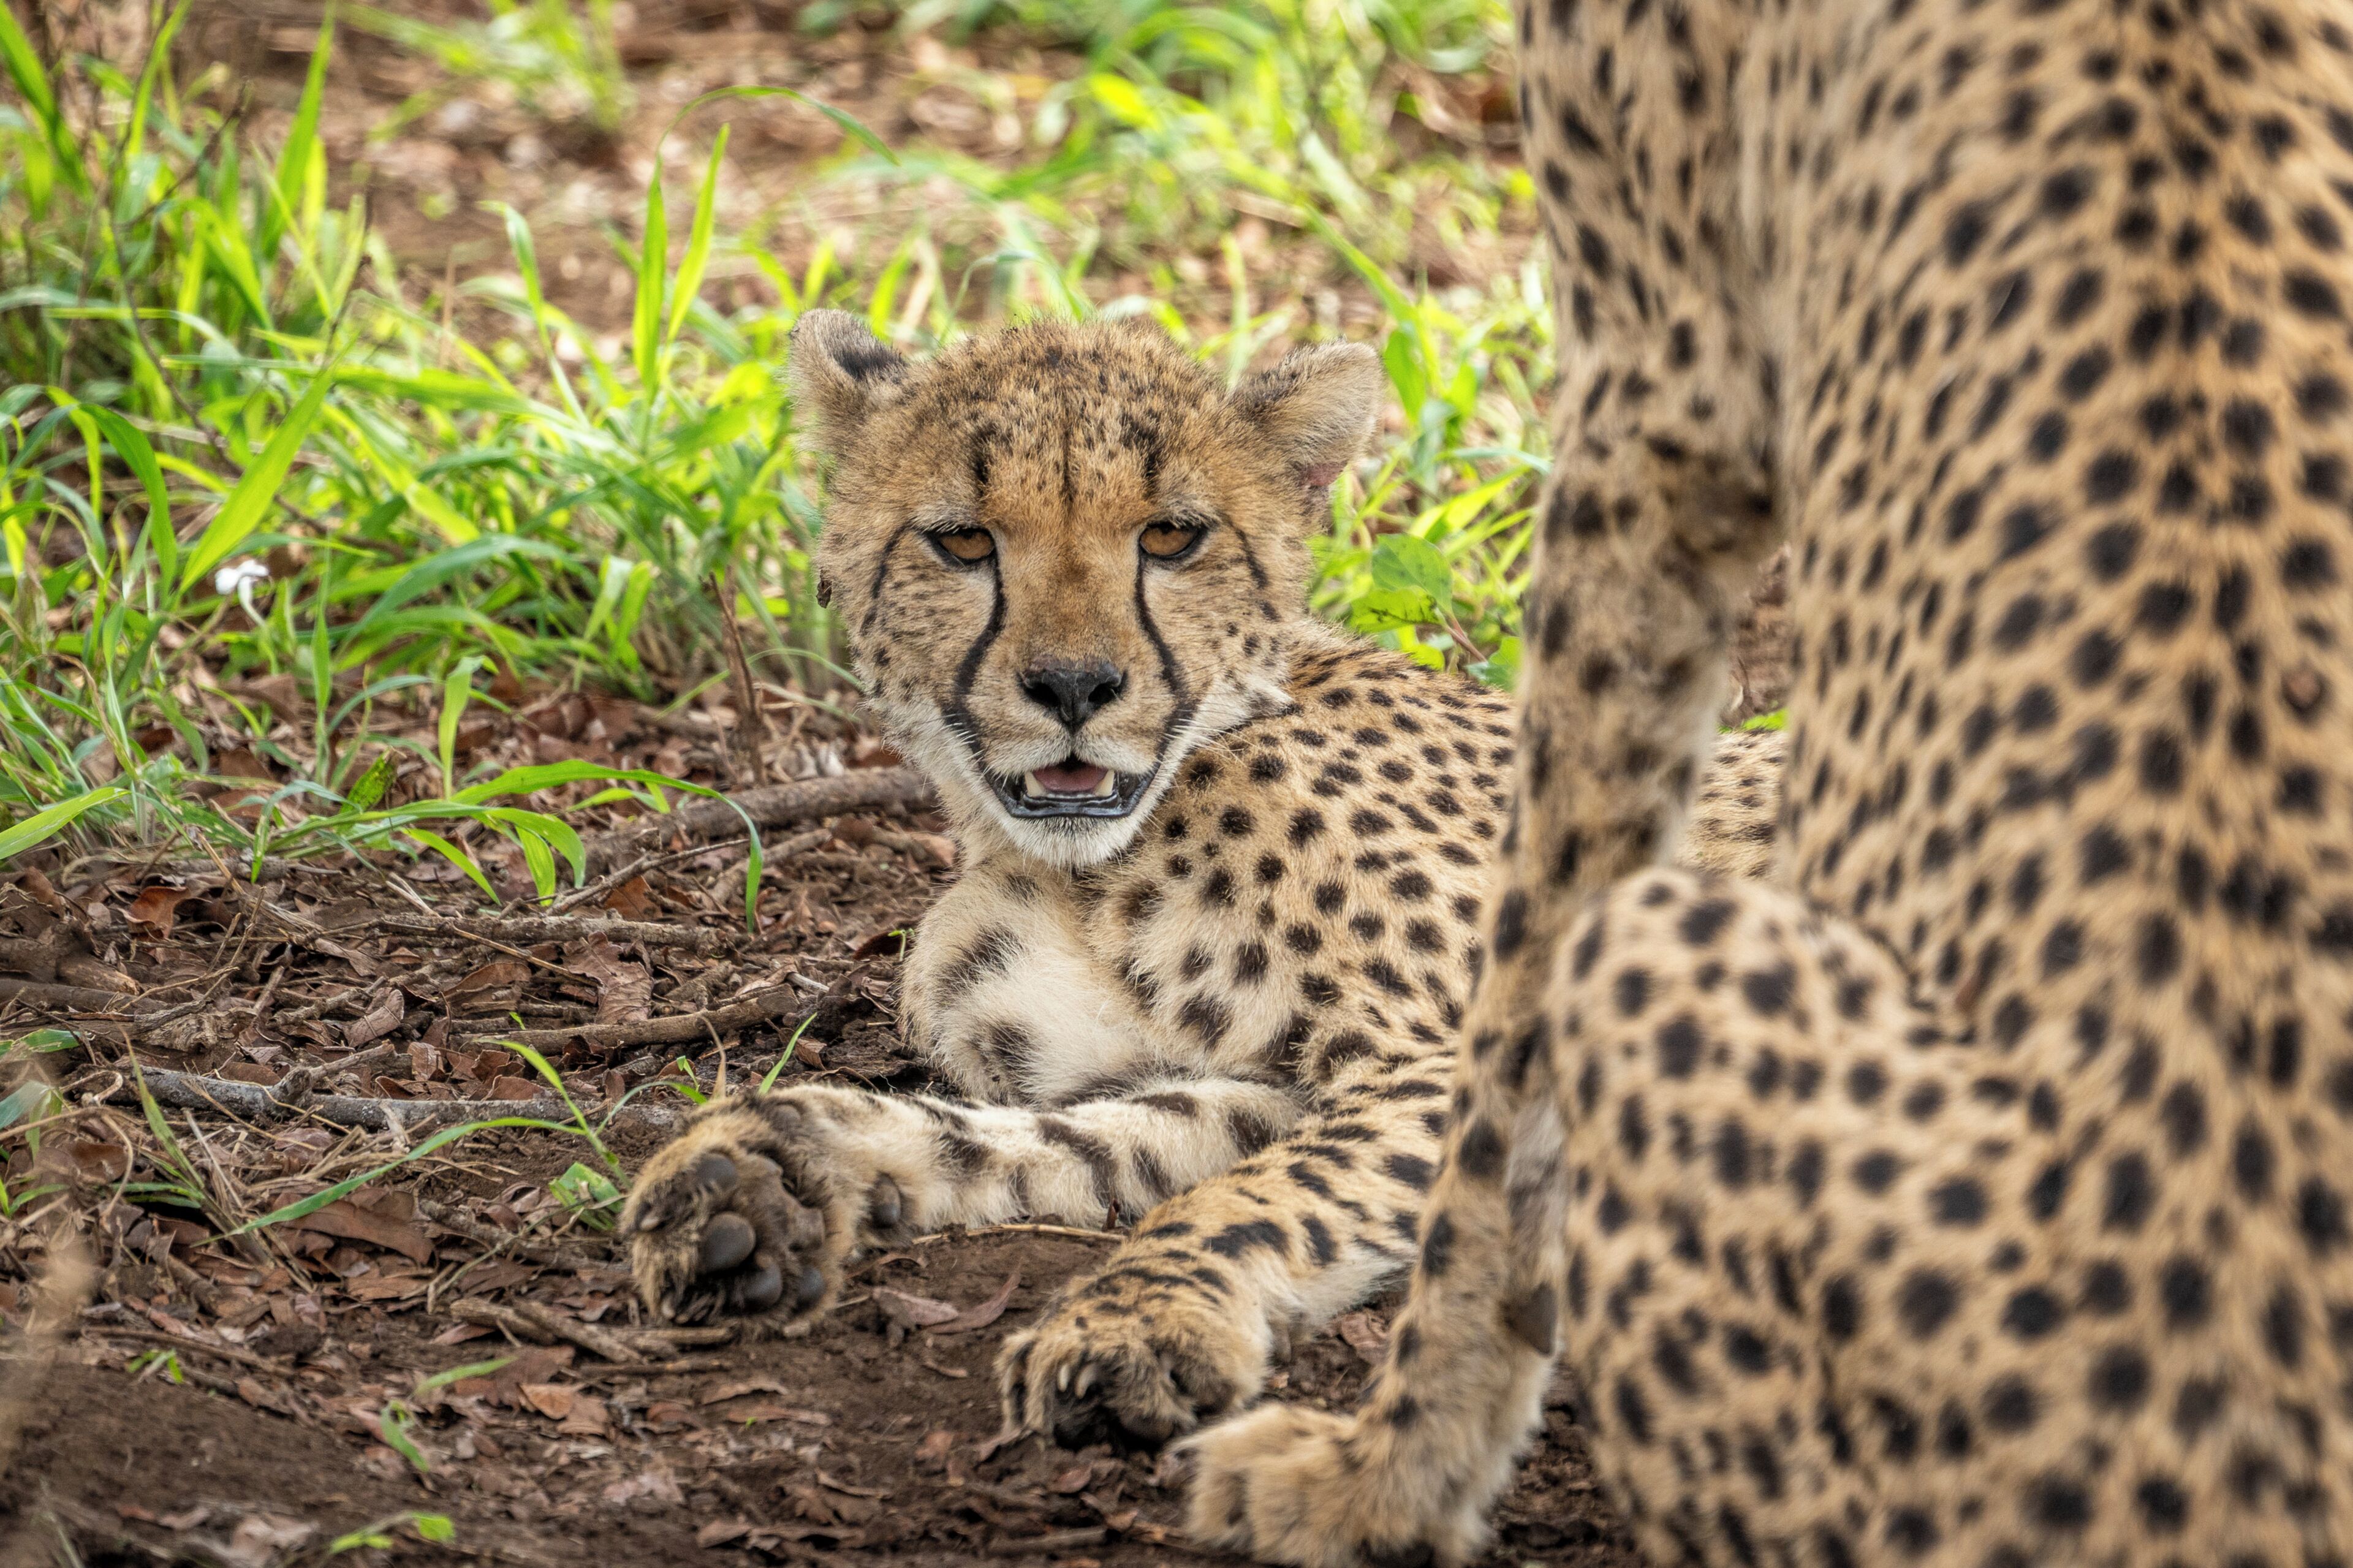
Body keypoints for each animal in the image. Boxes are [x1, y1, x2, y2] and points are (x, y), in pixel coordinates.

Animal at [618, 310, 1785, 1451]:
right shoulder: (1260, 1084)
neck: (1091, 865)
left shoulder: (1486, 1062)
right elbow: (1091, 1143)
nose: (1075, 686)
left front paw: (1137, 1317)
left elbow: (1267, 1191)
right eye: (963, 540)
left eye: (1173, 536)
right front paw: (781, 1162)